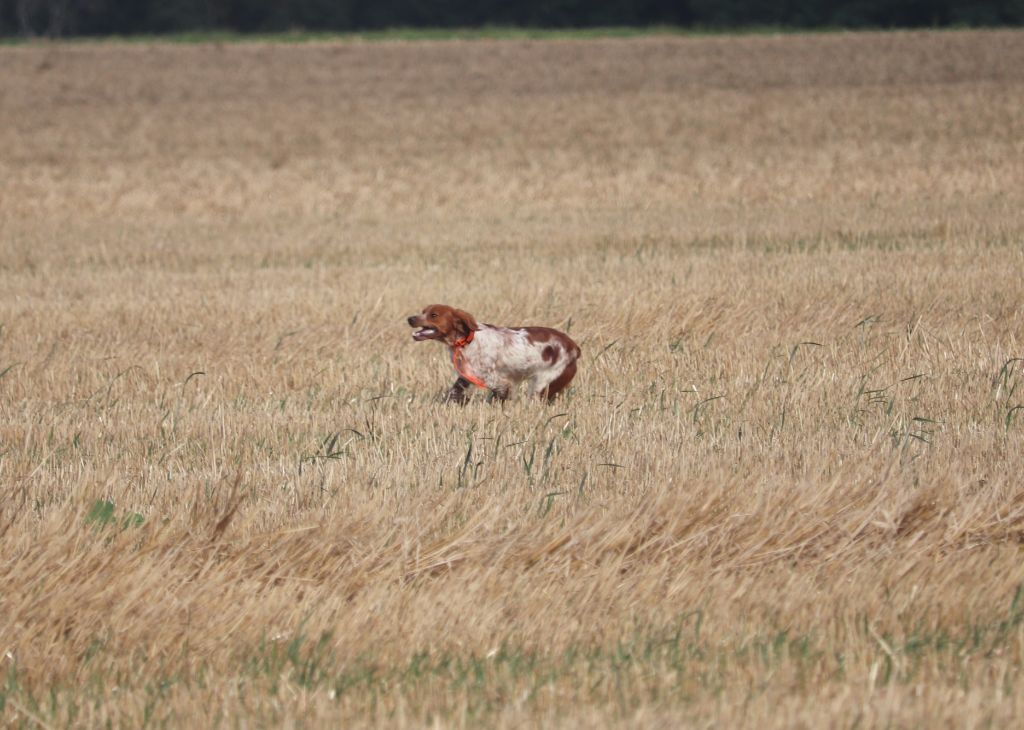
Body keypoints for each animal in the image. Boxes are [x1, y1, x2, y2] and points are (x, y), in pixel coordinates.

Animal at [407, 303, 585, 403]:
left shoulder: (497, 379)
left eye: (434, 315)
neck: (467, 340)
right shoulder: (467, 376)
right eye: (423, 311)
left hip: (543, 383)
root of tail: (574, 346)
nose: (410, 318)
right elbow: (454, 392)